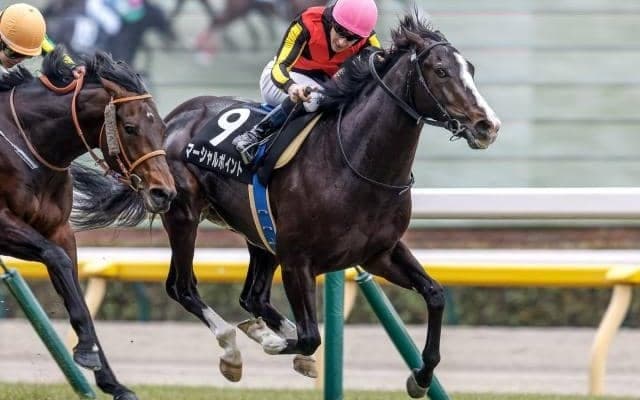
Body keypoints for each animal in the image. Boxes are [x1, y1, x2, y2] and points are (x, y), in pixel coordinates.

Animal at [0, 47, 176, 400]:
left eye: (162, 126)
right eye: (130, 127)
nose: (163, 193)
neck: (26, 143)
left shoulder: (59, 231)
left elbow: (72, 284)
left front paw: (111, 380)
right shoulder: (1, 223)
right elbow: (56, 258)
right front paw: (85, 352)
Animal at [71, 13, 500, 397]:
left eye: (470, 69)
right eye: (441, 71)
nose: (487, 126)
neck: (355, 163)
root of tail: (172, 119)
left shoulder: (381, 252)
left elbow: (435, 294)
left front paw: (421, 377)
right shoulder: (298, 260)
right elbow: (311, 336)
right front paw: (273, 342)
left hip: (258, 233)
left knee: (253, 296)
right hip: (184, 214)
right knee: (183, 287)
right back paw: (234, 348)